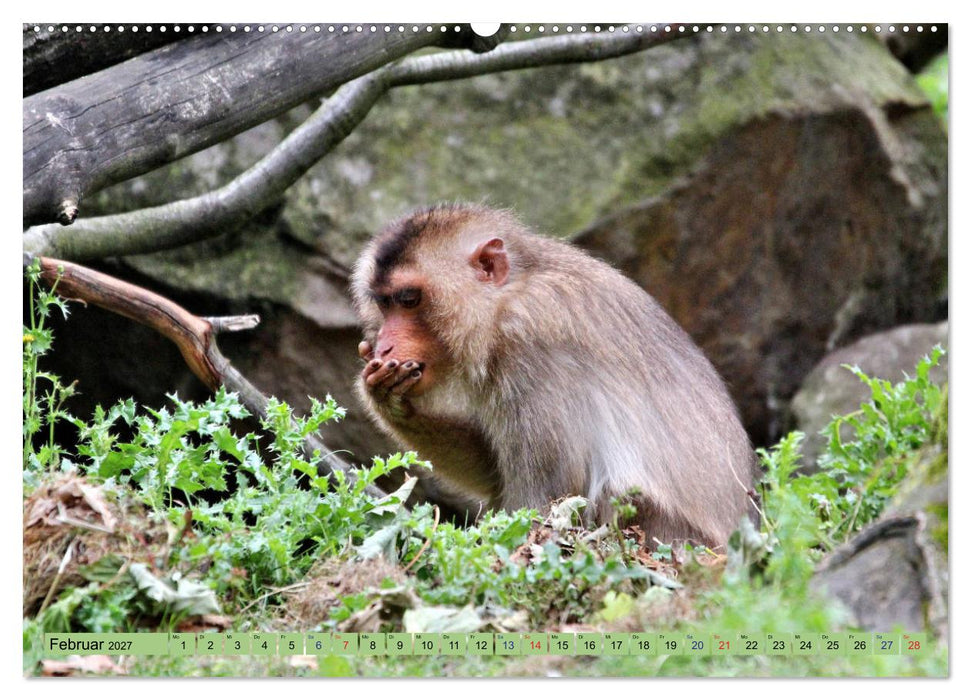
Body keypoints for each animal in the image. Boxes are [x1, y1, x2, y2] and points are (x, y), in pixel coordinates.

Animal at [351, 204, 758, 549]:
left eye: (409, 300)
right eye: (385, 304)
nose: (384, 346)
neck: (506, 301)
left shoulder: (533, 350)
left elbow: (540, 503)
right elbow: (494, 474)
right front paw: (392, 403)